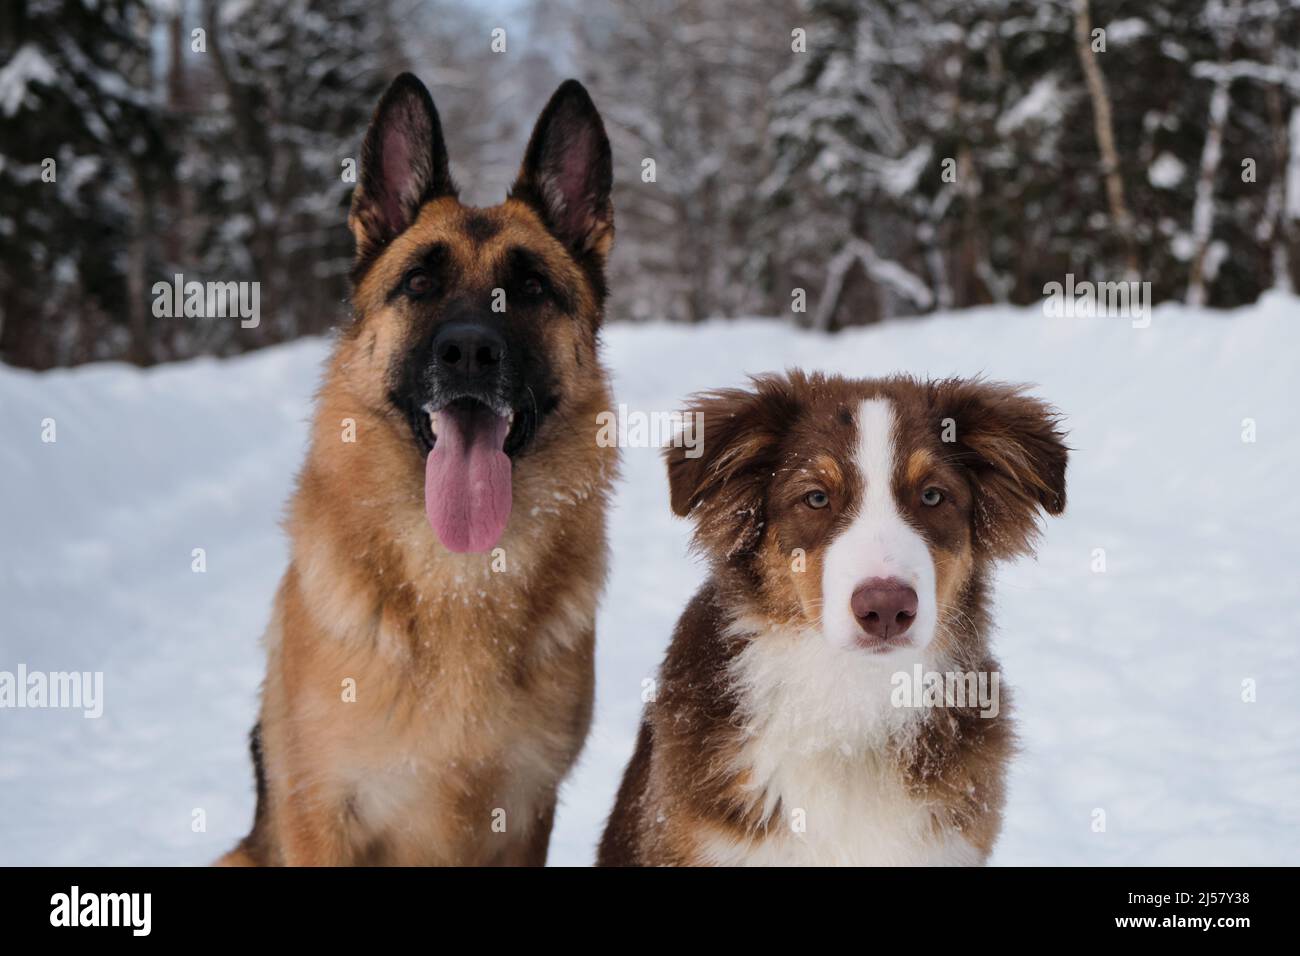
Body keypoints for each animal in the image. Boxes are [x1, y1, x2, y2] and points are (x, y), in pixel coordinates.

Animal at [217, 74, 613, 868]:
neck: (459, 575)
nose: (469, 353)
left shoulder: (527, 816)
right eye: (420, 283)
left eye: (531, 289)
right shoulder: (320, 818)